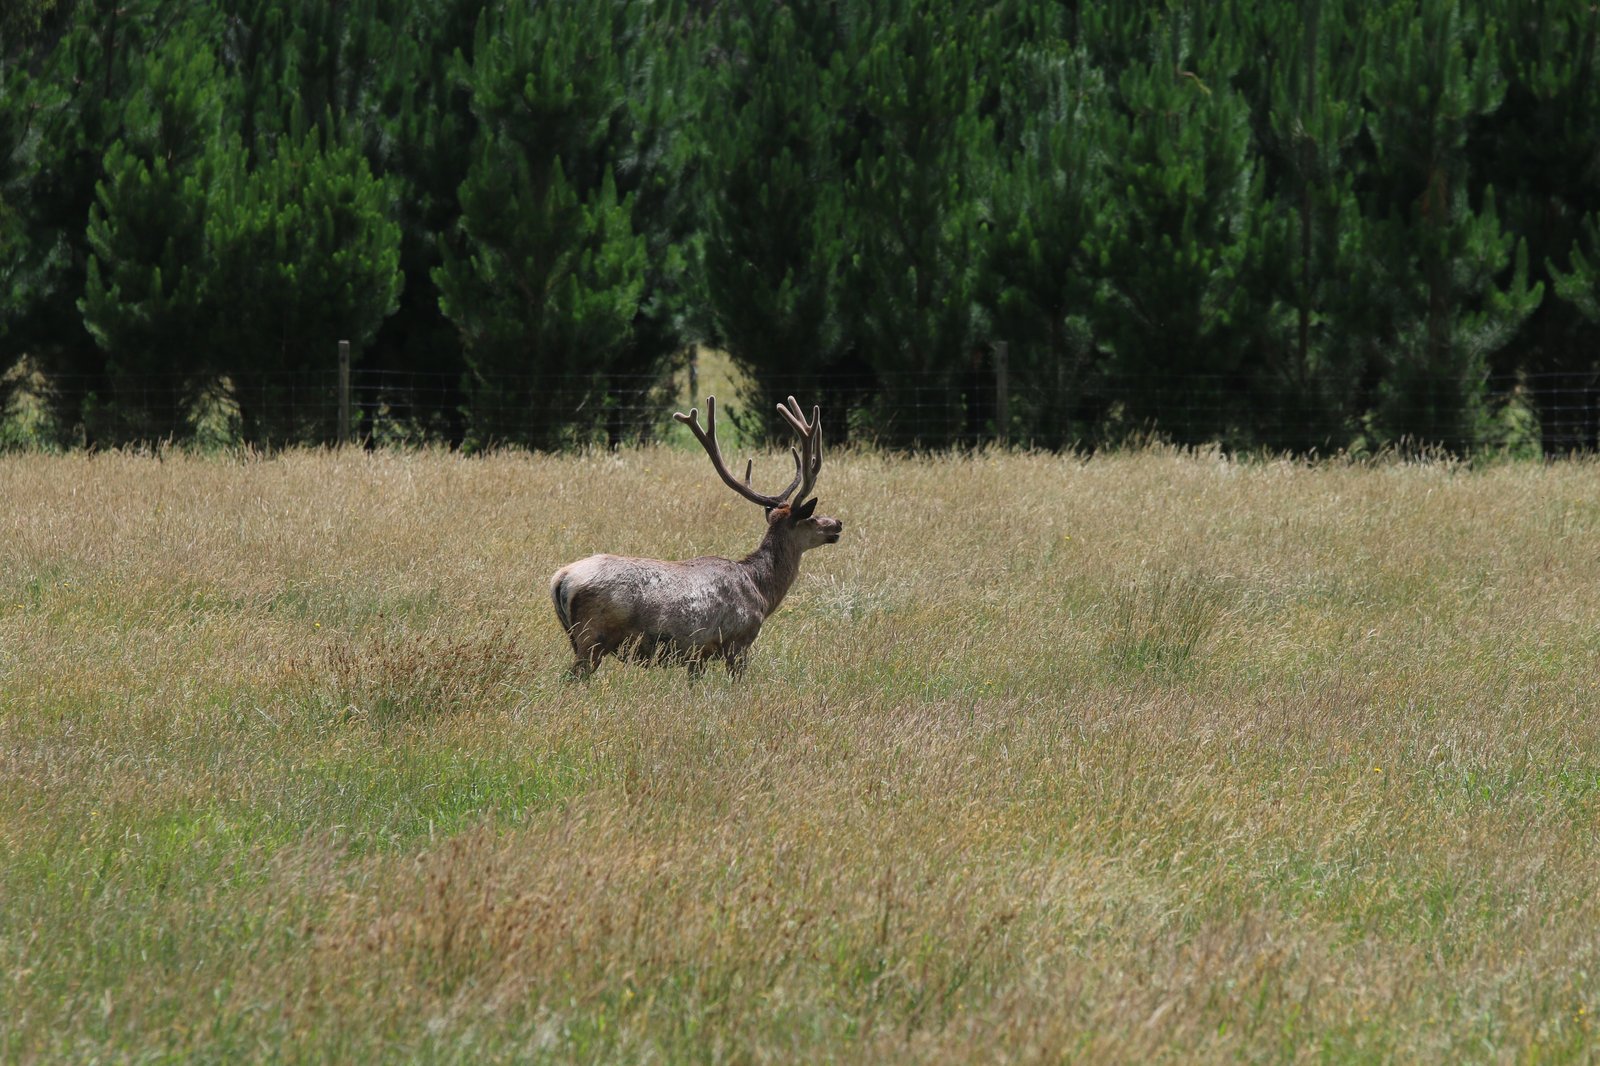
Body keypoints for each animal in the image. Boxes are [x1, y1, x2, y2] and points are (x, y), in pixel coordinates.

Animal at [550, 395, 842, 678]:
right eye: (811, 518)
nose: (838, 523)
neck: (762, 591)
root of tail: (561, 578)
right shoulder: (738, 641)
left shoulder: (697, 654)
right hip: (593, 636)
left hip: (576, 637)